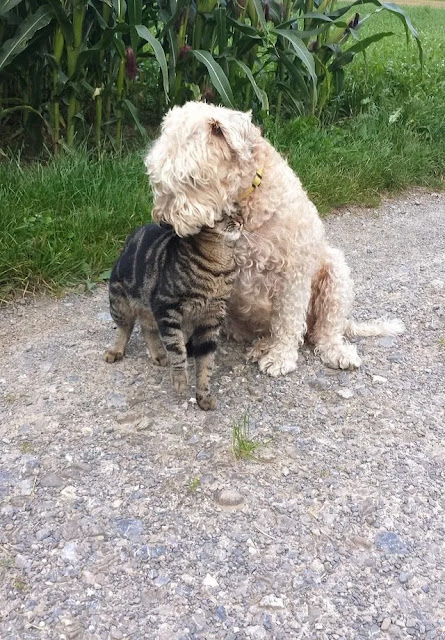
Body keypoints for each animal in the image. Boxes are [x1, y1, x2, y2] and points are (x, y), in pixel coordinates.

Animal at [103, 212, 243, 408]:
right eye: (222, 214)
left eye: (238, 210)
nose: (241, 221)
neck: (219, 262)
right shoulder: (167, 307)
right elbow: (176, 347)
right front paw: (179, 377)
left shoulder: (212, 317)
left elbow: (206, 361)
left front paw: (204, 394)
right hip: (120, 302)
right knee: (126, 328)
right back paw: (116, 350)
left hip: (149, 311)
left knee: (146, 328)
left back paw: (158, 354)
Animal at [143, 102, 402, 378]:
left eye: (190, 179)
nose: (165, 222)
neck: (247, 205)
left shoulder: (293, 274)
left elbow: (288, 321)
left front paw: (281, 357)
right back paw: (261, 346)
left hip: (335, 274)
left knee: (325, 330)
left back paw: (334, 351)